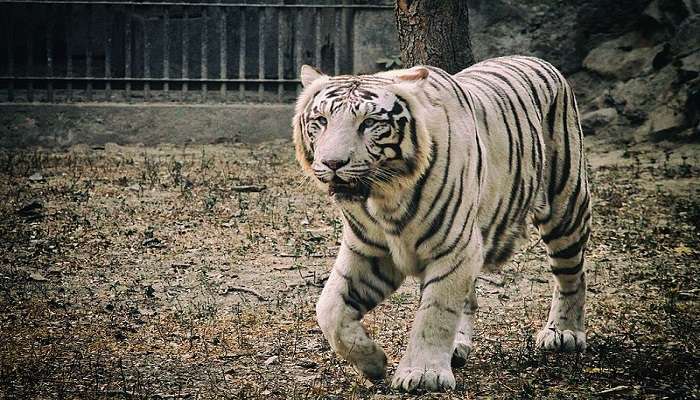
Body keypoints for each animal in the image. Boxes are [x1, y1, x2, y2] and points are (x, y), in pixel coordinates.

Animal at [292, 57, 592, 394]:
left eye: (369, 123)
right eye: (321, 120)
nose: (332, 163)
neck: (384, 197)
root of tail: (535, 58)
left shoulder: (454, 247)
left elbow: (435, 313)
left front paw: (423, 374)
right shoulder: (368, 250)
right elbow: (329, 309)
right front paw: (373, 362)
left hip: (565, 206)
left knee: (572, 274)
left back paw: (564, 333)